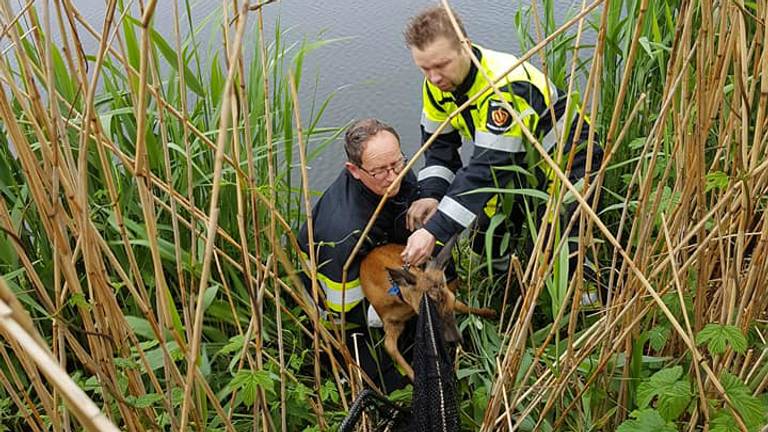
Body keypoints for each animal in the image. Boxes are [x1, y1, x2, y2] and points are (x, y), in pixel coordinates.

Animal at [360, 235, 498, 380]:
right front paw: (416, 377)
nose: (457, 340)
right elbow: (390, 347)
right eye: (430, 313)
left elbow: (463, 306)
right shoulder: (391, 322)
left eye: (451, 309)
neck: (401, 299)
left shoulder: (450, 295)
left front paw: (488, 312)